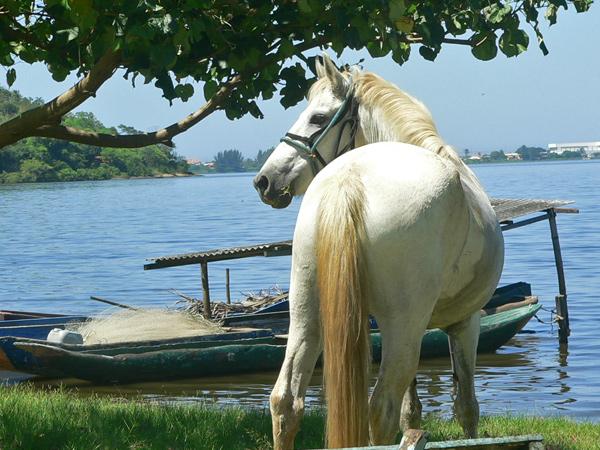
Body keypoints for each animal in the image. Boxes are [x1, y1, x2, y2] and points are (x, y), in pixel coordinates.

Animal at [252, 56, 502, 450]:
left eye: (318, 118)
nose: (265, 181)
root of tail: (349, 178)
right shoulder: (466, 321)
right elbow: (465, 407)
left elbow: (413, 411)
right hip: (403, 325)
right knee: (380, 407)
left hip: (307, 312)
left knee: (285, 400)